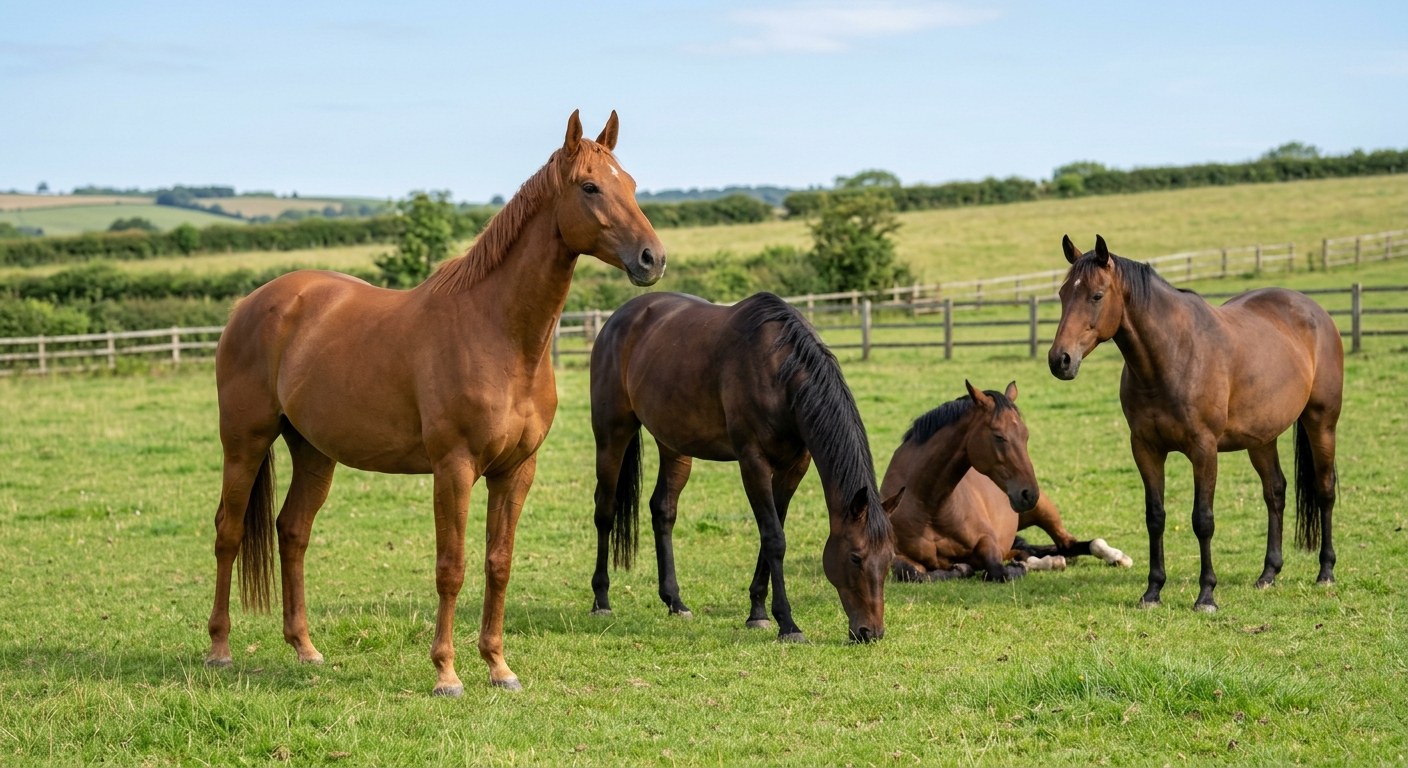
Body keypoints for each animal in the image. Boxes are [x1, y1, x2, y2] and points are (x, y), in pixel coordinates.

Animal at [205, 110, 666, 696]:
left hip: (313, 451)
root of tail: (253, 303)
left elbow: (498, 563)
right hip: (244, 443)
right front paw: (446, 672)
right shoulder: (454, 468)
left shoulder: (516, 471)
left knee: (292, 532)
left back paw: (305, 648)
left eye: (630, 183)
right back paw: (219, 649)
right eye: (590, 187)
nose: (652, 258)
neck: (498, 332)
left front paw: (498, 666)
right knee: (229, 531)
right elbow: (452, 567)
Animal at [587, 291, 894, 643]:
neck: (780, 373)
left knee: (663, 510)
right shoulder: (752, 461)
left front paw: (758, 612)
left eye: (890, 559)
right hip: (612, 434)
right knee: (605, 511)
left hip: (674, 444)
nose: (870, 632)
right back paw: (601, 600)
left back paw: (675, 601)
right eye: (856, 557)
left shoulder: (794, 466)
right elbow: (774, 537)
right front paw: (788, 624)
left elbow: (772, 533)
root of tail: (618, 318)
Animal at [884, 383, 1133, 582]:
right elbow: (912, 573)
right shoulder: (898, 555)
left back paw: (1116, 556)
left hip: (1044, 510)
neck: (929, 504)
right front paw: (961, 569)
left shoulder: (988, 542)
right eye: (999, 436)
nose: (1028, 494)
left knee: (1068, 544)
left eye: (1025, 435)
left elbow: (997, 570)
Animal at [1048, 235, 1343, 612]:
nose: (1060, 360)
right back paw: (1268, 574)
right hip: (1262, 438)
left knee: (1324, 490)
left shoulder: (1204, 450)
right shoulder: (1146, 448)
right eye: (1062, 294)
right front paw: (1153, 591)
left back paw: (1326, 571)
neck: (1172, 355)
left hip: (1321, 422)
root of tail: (1315, 311)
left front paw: (1206, 595)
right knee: (1275, 493)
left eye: (1096, 295)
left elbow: (1203, 520)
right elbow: (1155, 517)